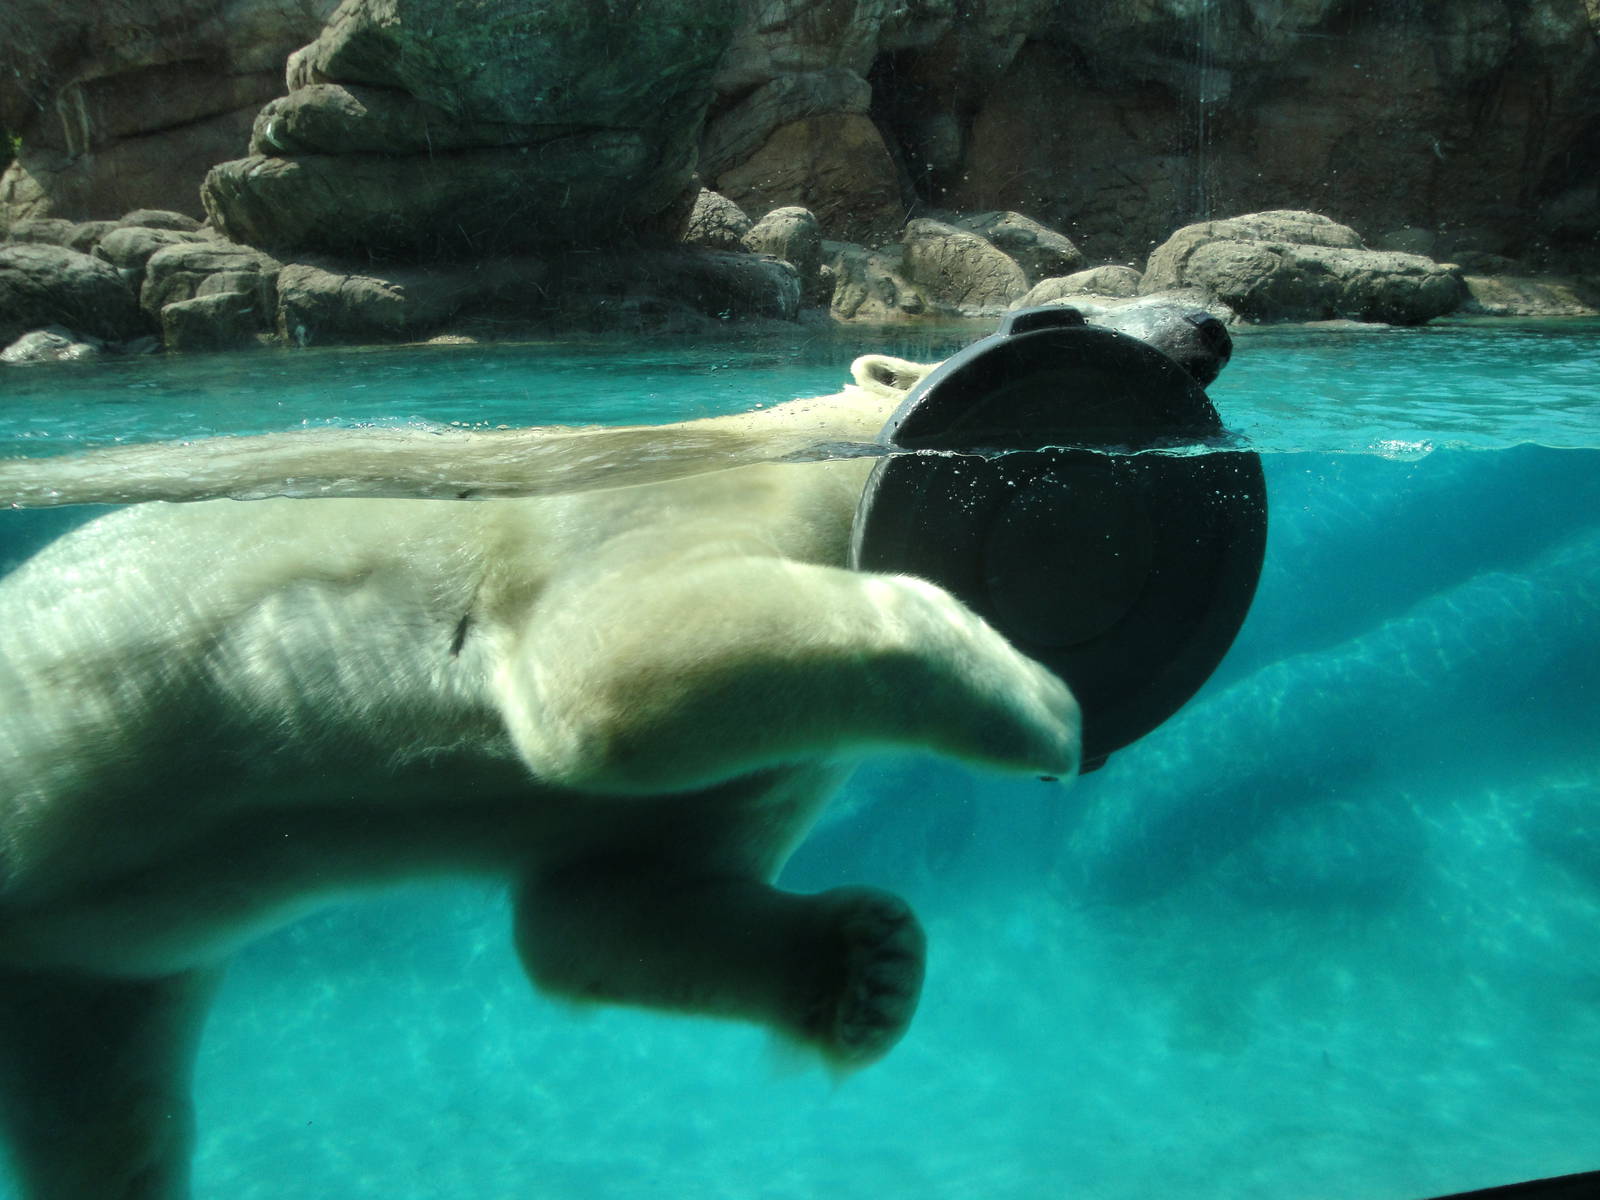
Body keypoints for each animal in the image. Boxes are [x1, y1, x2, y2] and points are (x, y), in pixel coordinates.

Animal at [0, 353, 1081, 1200]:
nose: (1181, 322)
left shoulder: (780, 770)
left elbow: (598, 907)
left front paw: (870, 964)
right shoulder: (667, 512)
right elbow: (609, 660)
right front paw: (1037, 700)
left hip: (90, 982)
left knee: (110, 1116)